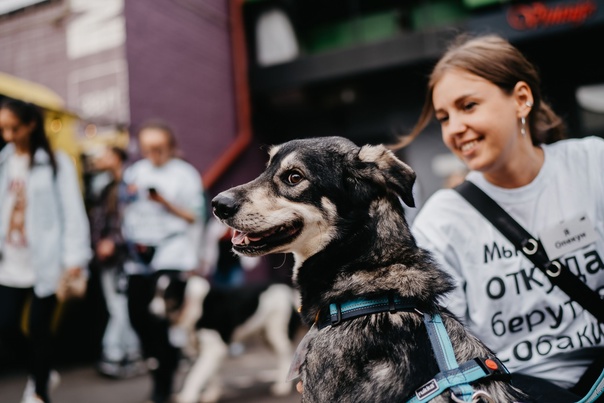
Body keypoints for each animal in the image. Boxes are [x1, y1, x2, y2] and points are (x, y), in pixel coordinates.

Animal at [150, 274, 300, 403]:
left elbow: (194, 375)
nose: (152, 314)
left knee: (285, 354)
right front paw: (212, 394)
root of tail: (285, 288)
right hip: (267, 336)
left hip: (276, 332)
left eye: (166, 296)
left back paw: (282, 387)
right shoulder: (206, 350)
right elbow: (210, 374)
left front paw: (187, 397)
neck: (191, 304)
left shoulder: (214, 348)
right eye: (156, 293)